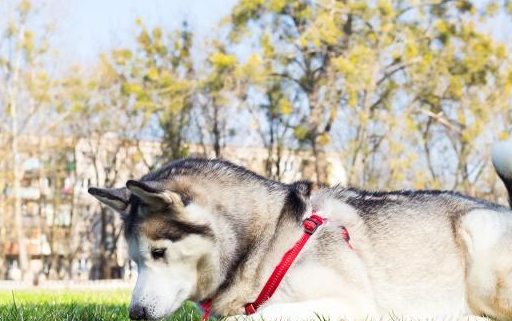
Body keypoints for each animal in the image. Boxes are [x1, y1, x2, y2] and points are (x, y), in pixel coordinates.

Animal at [90, 140, 512, 320]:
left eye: (159, 253)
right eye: (134, 261)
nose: (136, 314)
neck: (271, 242)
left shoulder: (352, 305)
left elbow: (252, 318)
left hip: (478, 241)